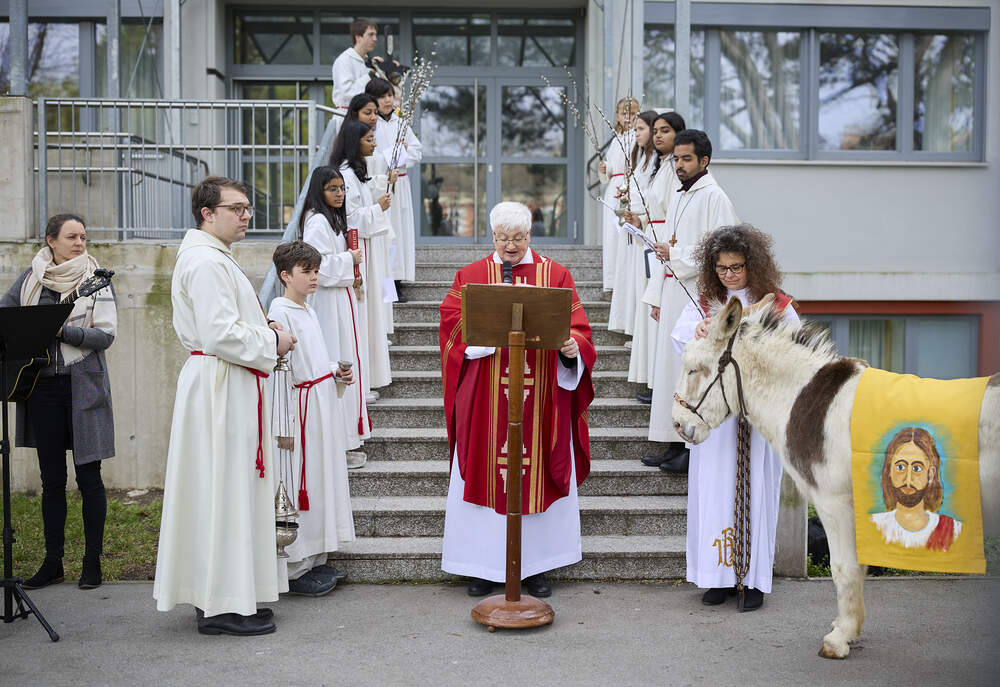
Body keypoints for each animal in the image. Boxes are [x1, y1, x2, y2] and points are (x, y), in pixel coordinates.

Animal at [671, 295, 999, 659]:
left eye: (694, 369)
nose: (678, 425)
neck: (802, 401)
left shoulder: (833, 502)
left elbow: (844, 567)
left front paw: (839, 639)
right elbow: (857, 567)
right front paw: (850, 630)